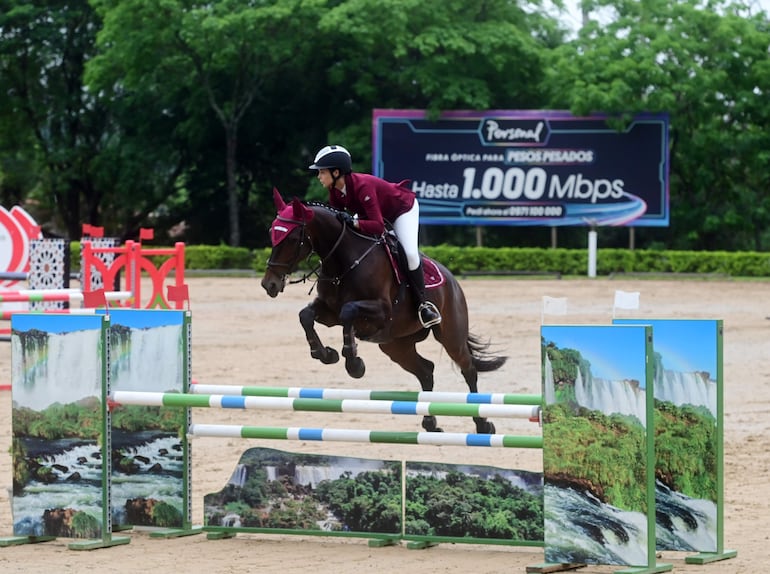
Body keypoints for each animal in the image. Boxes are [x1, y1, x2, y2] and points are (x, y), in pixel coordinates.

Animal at [260, 187, 508, 434]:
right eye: (272, 233)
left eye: (293, 238)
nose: (269, 284)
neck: (344, 260)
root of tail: (452, 280)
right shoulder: (329, 312)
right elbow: (306, 316)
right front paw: (325, 354)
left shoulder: (380, 311)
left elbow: (348, 311)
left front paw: (354, 364)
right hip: (395, 345)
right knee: (426, 370)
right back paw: (430, 422)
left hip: (450, 336)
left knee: (468, 369)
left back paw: (482, 424)